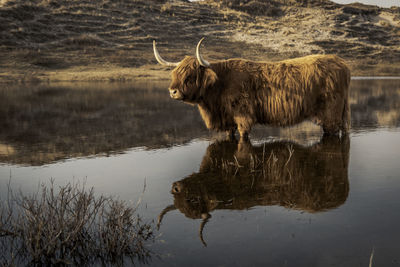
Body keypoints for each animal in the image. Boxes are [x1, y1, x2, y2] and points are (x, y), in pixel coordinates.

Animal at [153, 38, 350, 138]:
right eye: (175, 74)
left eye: (190, 76)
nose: (173, 91)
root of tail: (341, 63)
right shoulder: (228, 121)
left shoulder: (243, 117)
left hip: (331, 117)